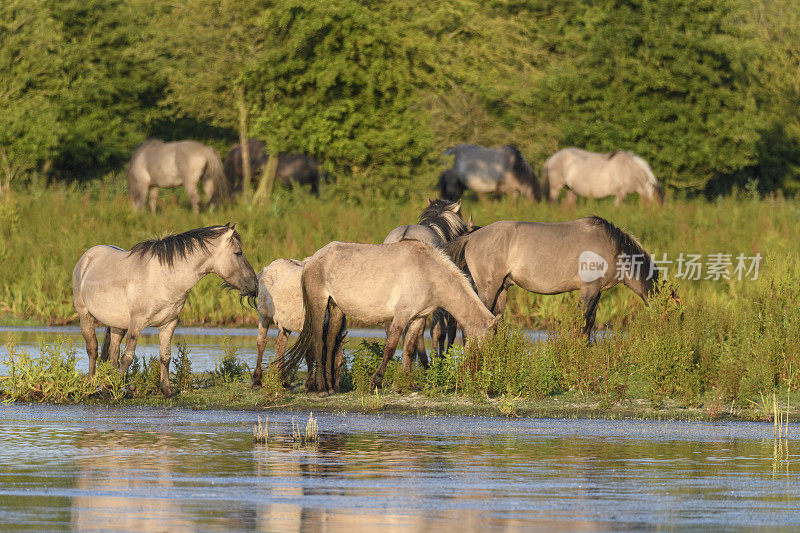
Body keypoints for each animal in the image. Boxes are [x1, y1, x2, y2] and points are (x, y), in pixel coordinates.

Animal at [73, 223, 256, 394]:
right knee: (92, 349)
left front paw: (166, 390)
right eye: (238, 253)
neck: (164, 279)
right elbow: (128, 357)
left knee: (113, 352)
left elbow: (165, 356)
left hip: (117, 324)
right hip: (85, 315)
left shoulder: (169, 323)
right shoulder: (136, 323)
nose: (254, 285)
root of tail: (87, 257)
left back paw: (108, 386)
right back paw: (91, 385)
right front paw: (118, 389)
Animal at [253, 258, 346, 390]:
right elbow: (310, 354)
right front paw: (311, 386)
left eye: (341, 363)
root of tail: (266, 268)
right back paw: (257, 381)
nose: (335, 388)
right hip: (264, 315)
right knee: (261, 343)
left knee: (280, 345)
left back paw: (285, 382)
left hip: (285, 323)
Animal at [278, 241, 496, 394]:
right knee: (317, 341)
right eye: (486, 344)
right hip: (319, 303)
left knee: (330, 343)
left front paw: (406, 385)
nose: (488, 379)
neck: (428, 273)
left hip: (336, 308)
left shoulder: (418, 318)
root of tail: (312, 260)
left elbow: (408, 349)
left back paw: (332, 388)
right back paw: (322, 389)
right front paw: (376, 382)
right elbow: (390, 348)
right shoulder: (401, 315)